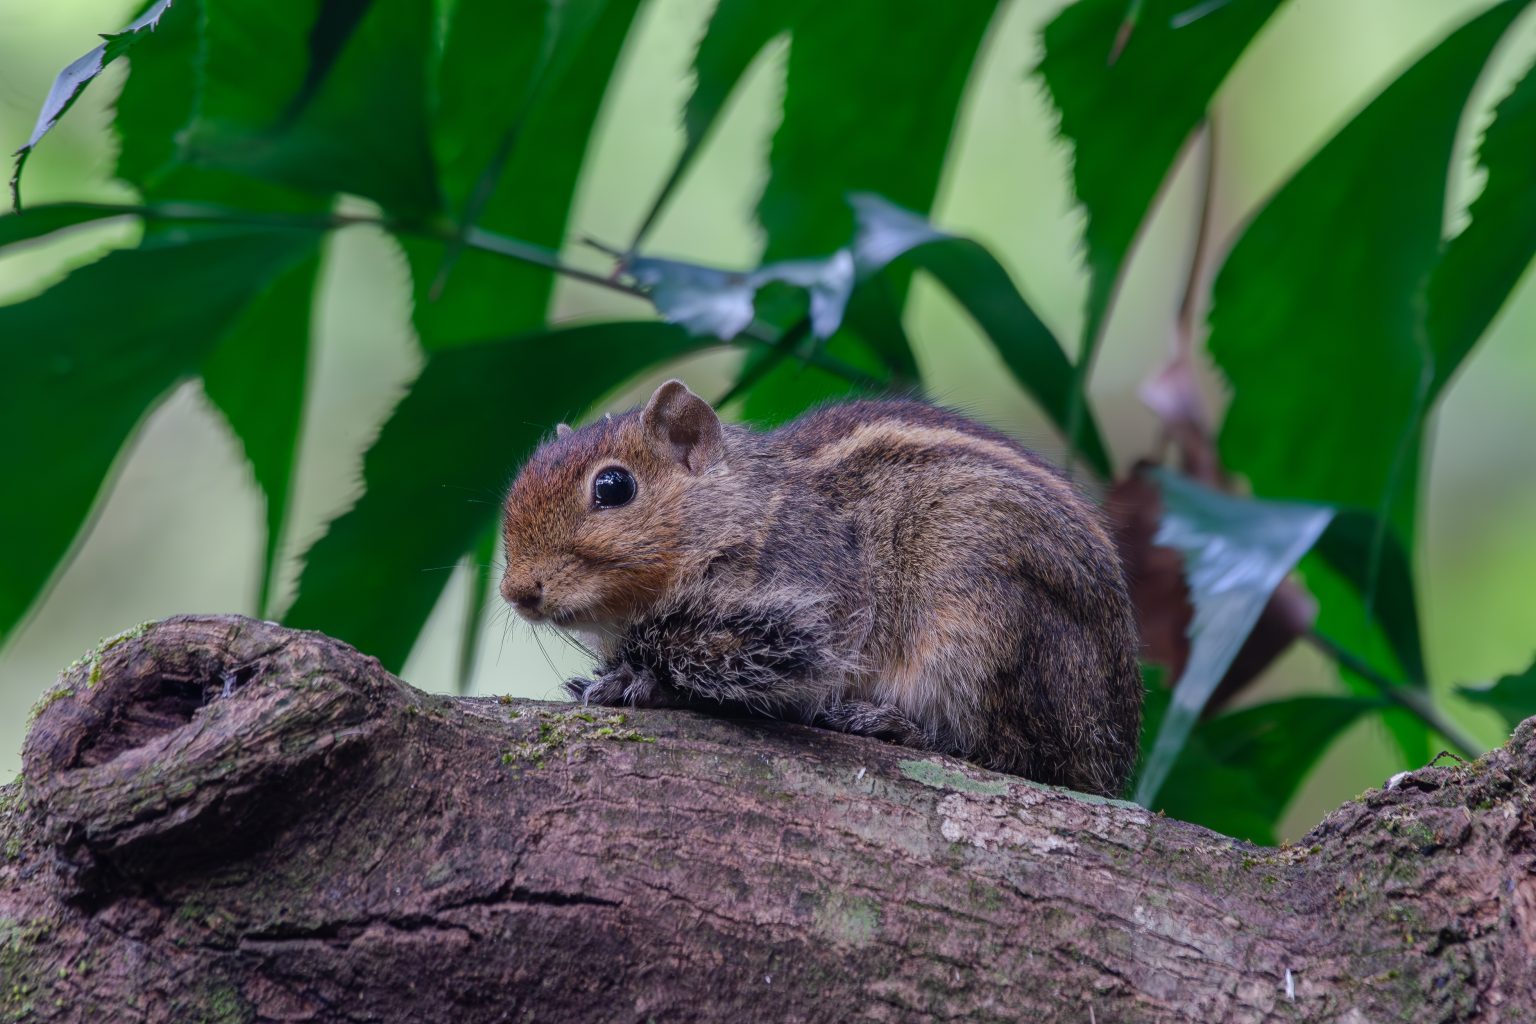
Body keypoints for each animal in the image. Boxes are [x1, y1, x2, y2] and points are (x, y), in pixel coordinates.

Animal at [500, 379, 1142, 796]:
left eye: (613, 486)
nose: (515, 592)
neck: (746, 511)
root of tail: (1111, 750)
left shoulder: (803, 615)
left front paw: (642, 682)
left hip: (983, 634)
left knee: (1009, 752)